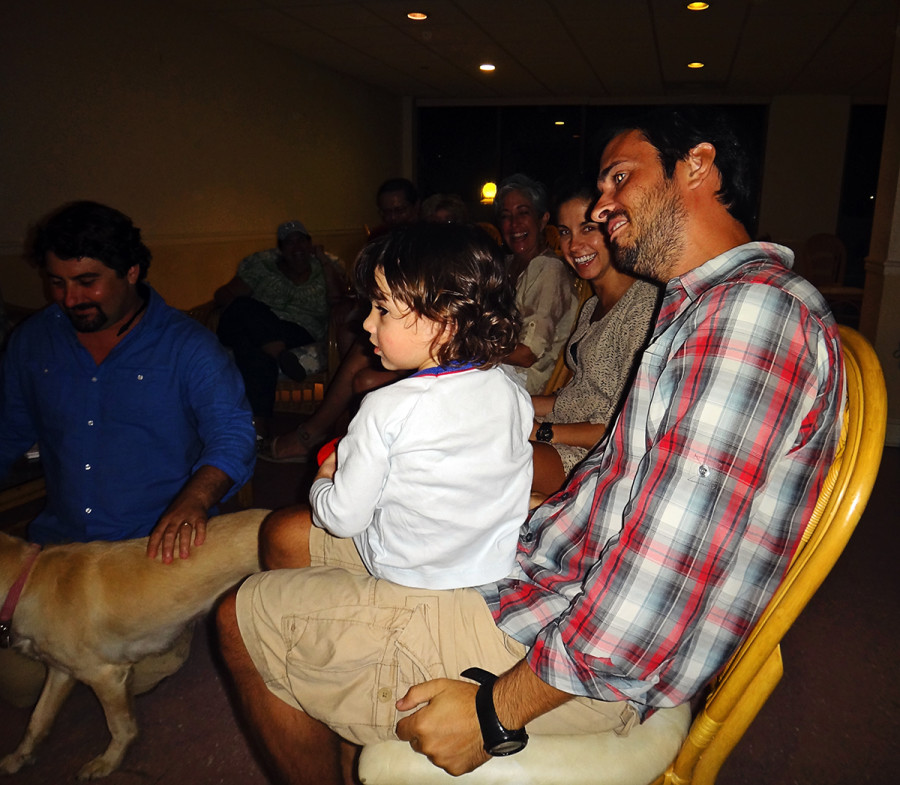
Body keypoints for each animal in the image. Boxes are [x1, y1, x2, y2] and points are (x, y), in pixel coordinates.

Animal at [0, 508, 268, 776]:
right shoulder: (60, 672)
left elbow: (120, 726)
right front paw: (18, 758)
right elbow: (37, 719)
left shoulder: (105, 676)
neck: (25, 582)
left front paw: (108, 762)